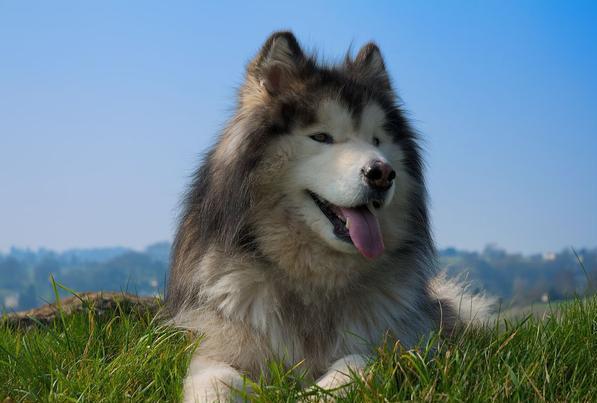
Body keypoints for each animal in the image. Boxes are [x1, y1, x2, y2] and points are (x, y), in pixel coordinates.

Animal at [163, 32, 488, 403]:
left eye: (377, 140)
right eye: (321, 137)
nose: (382, 173)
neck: (312, 280)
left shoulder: (398, 345)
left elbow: (357, 363)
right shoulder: (218, 344)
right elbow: (216, 380)